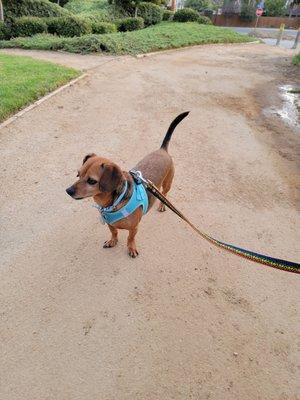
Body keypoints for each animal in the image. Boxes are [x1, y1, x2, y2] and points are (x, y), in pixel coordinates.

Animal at [66, 111, 189, 258]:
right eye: (78, 174)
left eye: (91, 181)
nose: (68, 190)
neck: (112, 203)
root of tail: (162, 149)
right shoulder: (110, 224)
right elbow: (114, 232)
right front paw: (112, 241)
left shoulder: (134, 228)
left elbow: (130, 238)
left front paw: (131, 248)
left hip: (167, 183)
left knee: (164, 193)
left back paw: (162, 205)